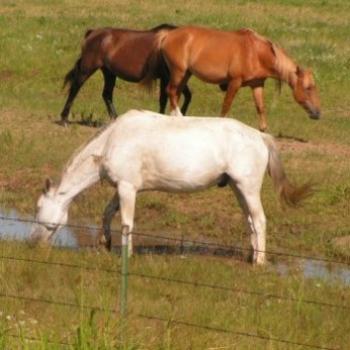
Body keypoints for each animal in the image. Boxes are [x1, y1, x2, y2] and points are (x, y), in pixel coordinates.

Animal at [30, 109, 308, 266]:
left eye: (39, 207)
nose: (35, 243)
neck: (112, 140)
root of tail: (260, 136)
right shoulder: (122, 187)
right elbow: (108, 213)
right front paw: (105, 243)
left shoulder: (128, 188)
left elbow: (127, 222)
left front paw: (126, 255)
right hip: (238, 189)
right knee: (250, 222)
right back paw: (251, 256)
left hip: (248, 188)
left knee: (260, 221)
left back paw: (259, 262)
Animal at [60, 23, 191, 124]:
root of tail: (92, 32)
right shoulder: (165, 77)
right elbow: (163, 100)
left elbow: (187, 96)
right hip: (87, 69)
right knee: (75, 88)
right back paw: (64, 119)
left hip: (109, 73)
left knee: (106, 94)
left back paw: (115, 119)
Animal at [148, 25, 320, 131]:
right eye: (308, 88)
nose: (317, 113)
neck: (255, 52)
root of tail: (167, 35)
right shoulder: (234, 83)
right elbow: (226, 106)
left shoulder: (257, 85)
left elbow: (260, 107)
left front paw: (263, 130)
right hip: (179, 72)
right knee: (171, 91)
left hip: (185, 74)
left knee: (175, 94)